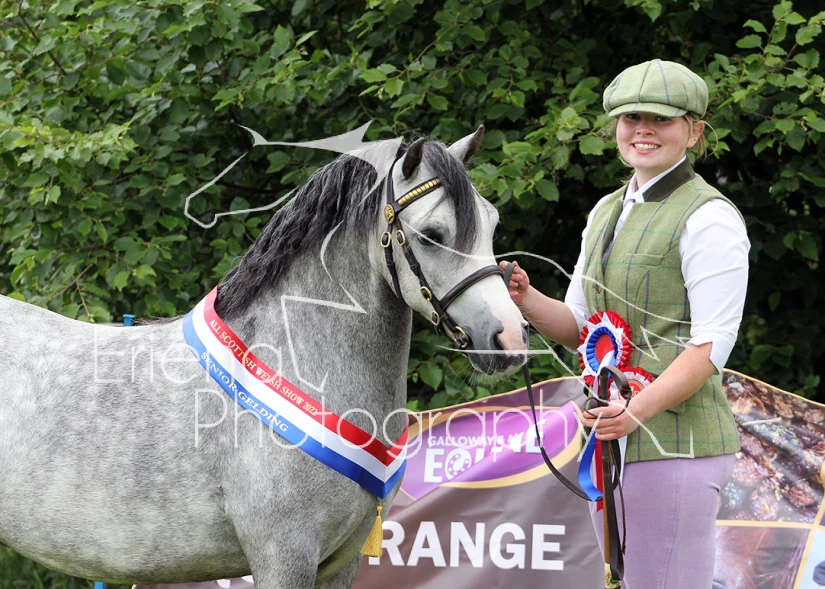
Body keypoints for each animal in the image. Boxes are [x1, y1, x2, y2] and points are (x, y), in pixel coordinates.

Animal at [0, 127, 528, 588]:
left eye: (493, 224)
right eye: (432, 233)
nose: (510, 338)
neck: (295, 362)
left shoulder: (340, 564)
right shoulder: (283, 555)